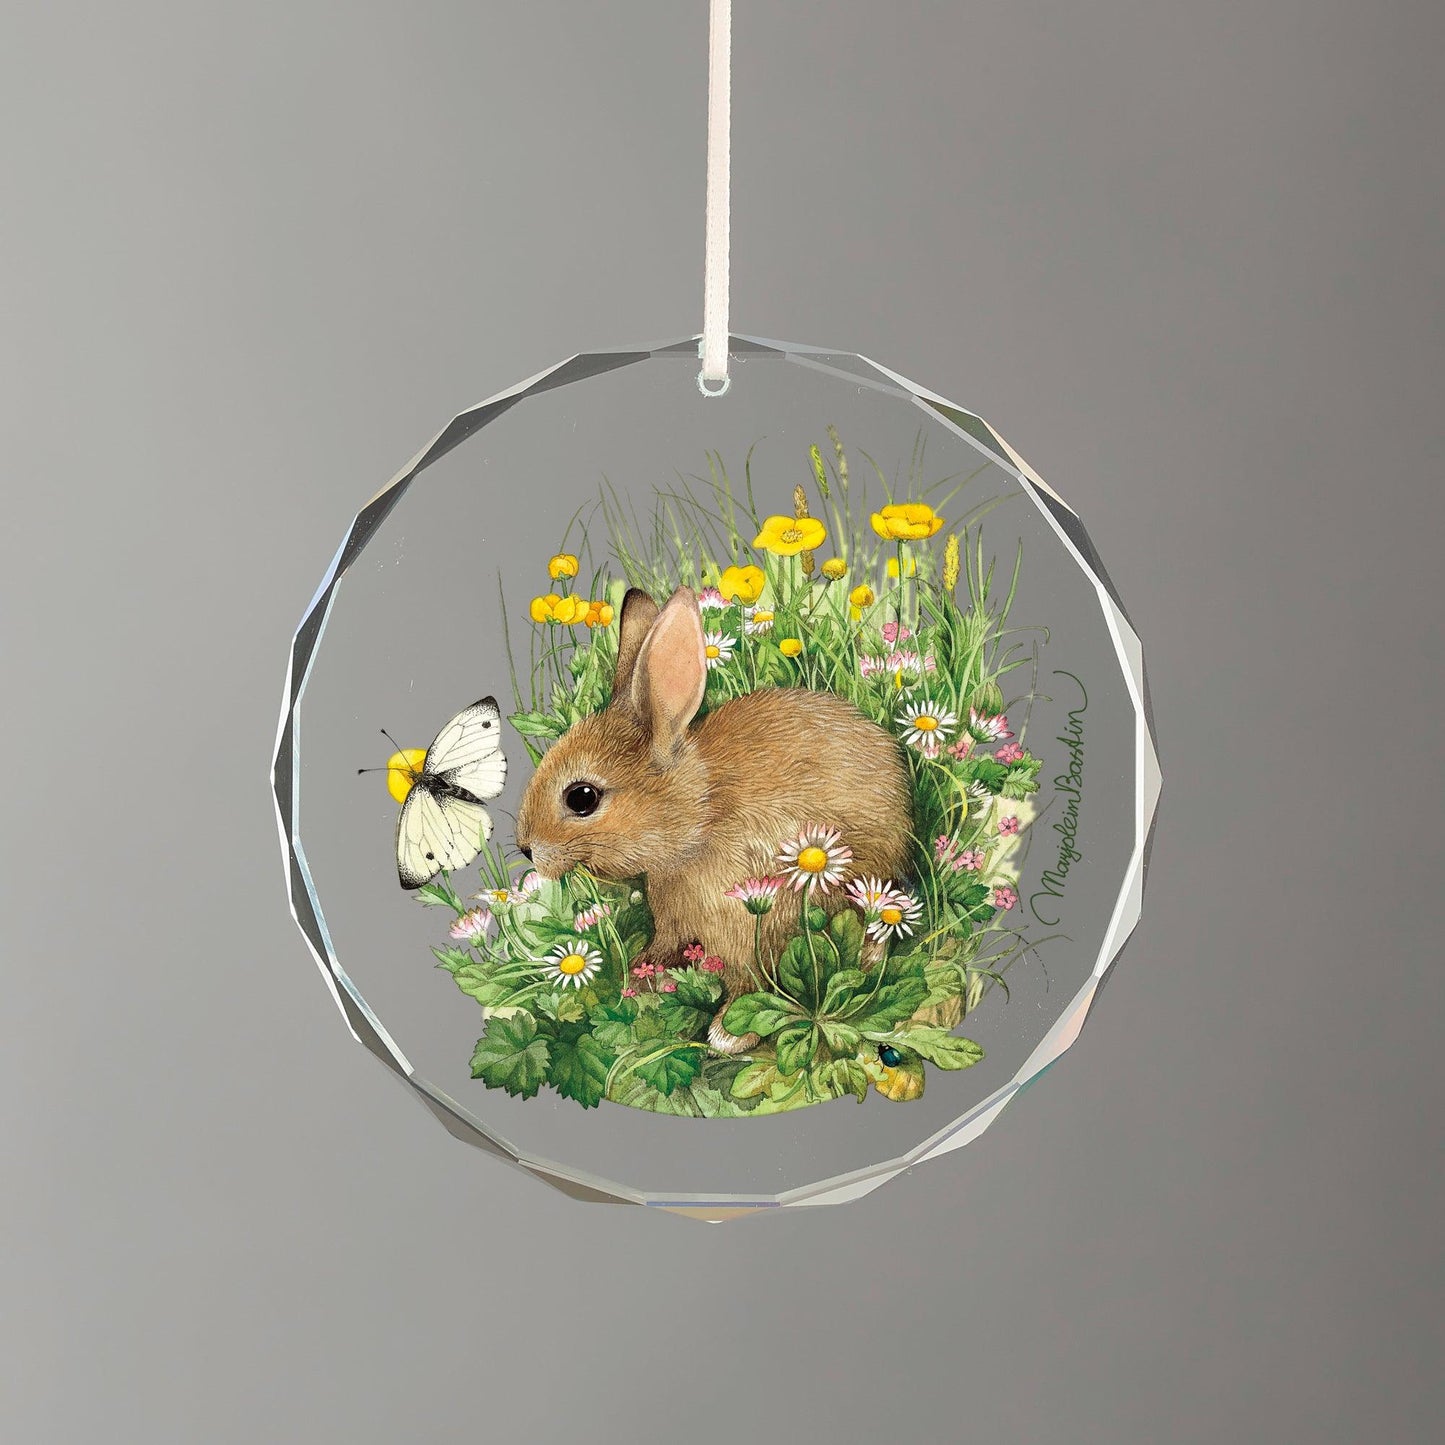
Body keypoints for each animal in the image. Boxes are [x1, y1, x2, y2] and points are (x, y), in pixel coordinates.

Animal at [515, 585, 915, 1053]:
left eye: (582, 798)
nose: (526, 848)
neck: (700, 816)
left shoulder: (757, 920)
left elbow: (750, 982)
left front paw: (730, 1034)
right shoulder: (675, 922)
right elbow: (665, 948)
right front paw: (641, 977)